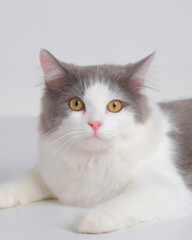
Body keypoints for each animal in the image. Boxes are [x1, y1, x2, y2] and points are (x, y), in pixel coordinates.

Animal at [0, 48, 192, 234]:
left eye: (114, 106)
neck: (91, 161)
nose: (94, 123)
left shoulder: (166, 186)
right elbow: (24, 180)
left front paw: (94, 217)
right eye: (76, 104)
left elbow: (128, 200)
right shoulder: (49, 172)